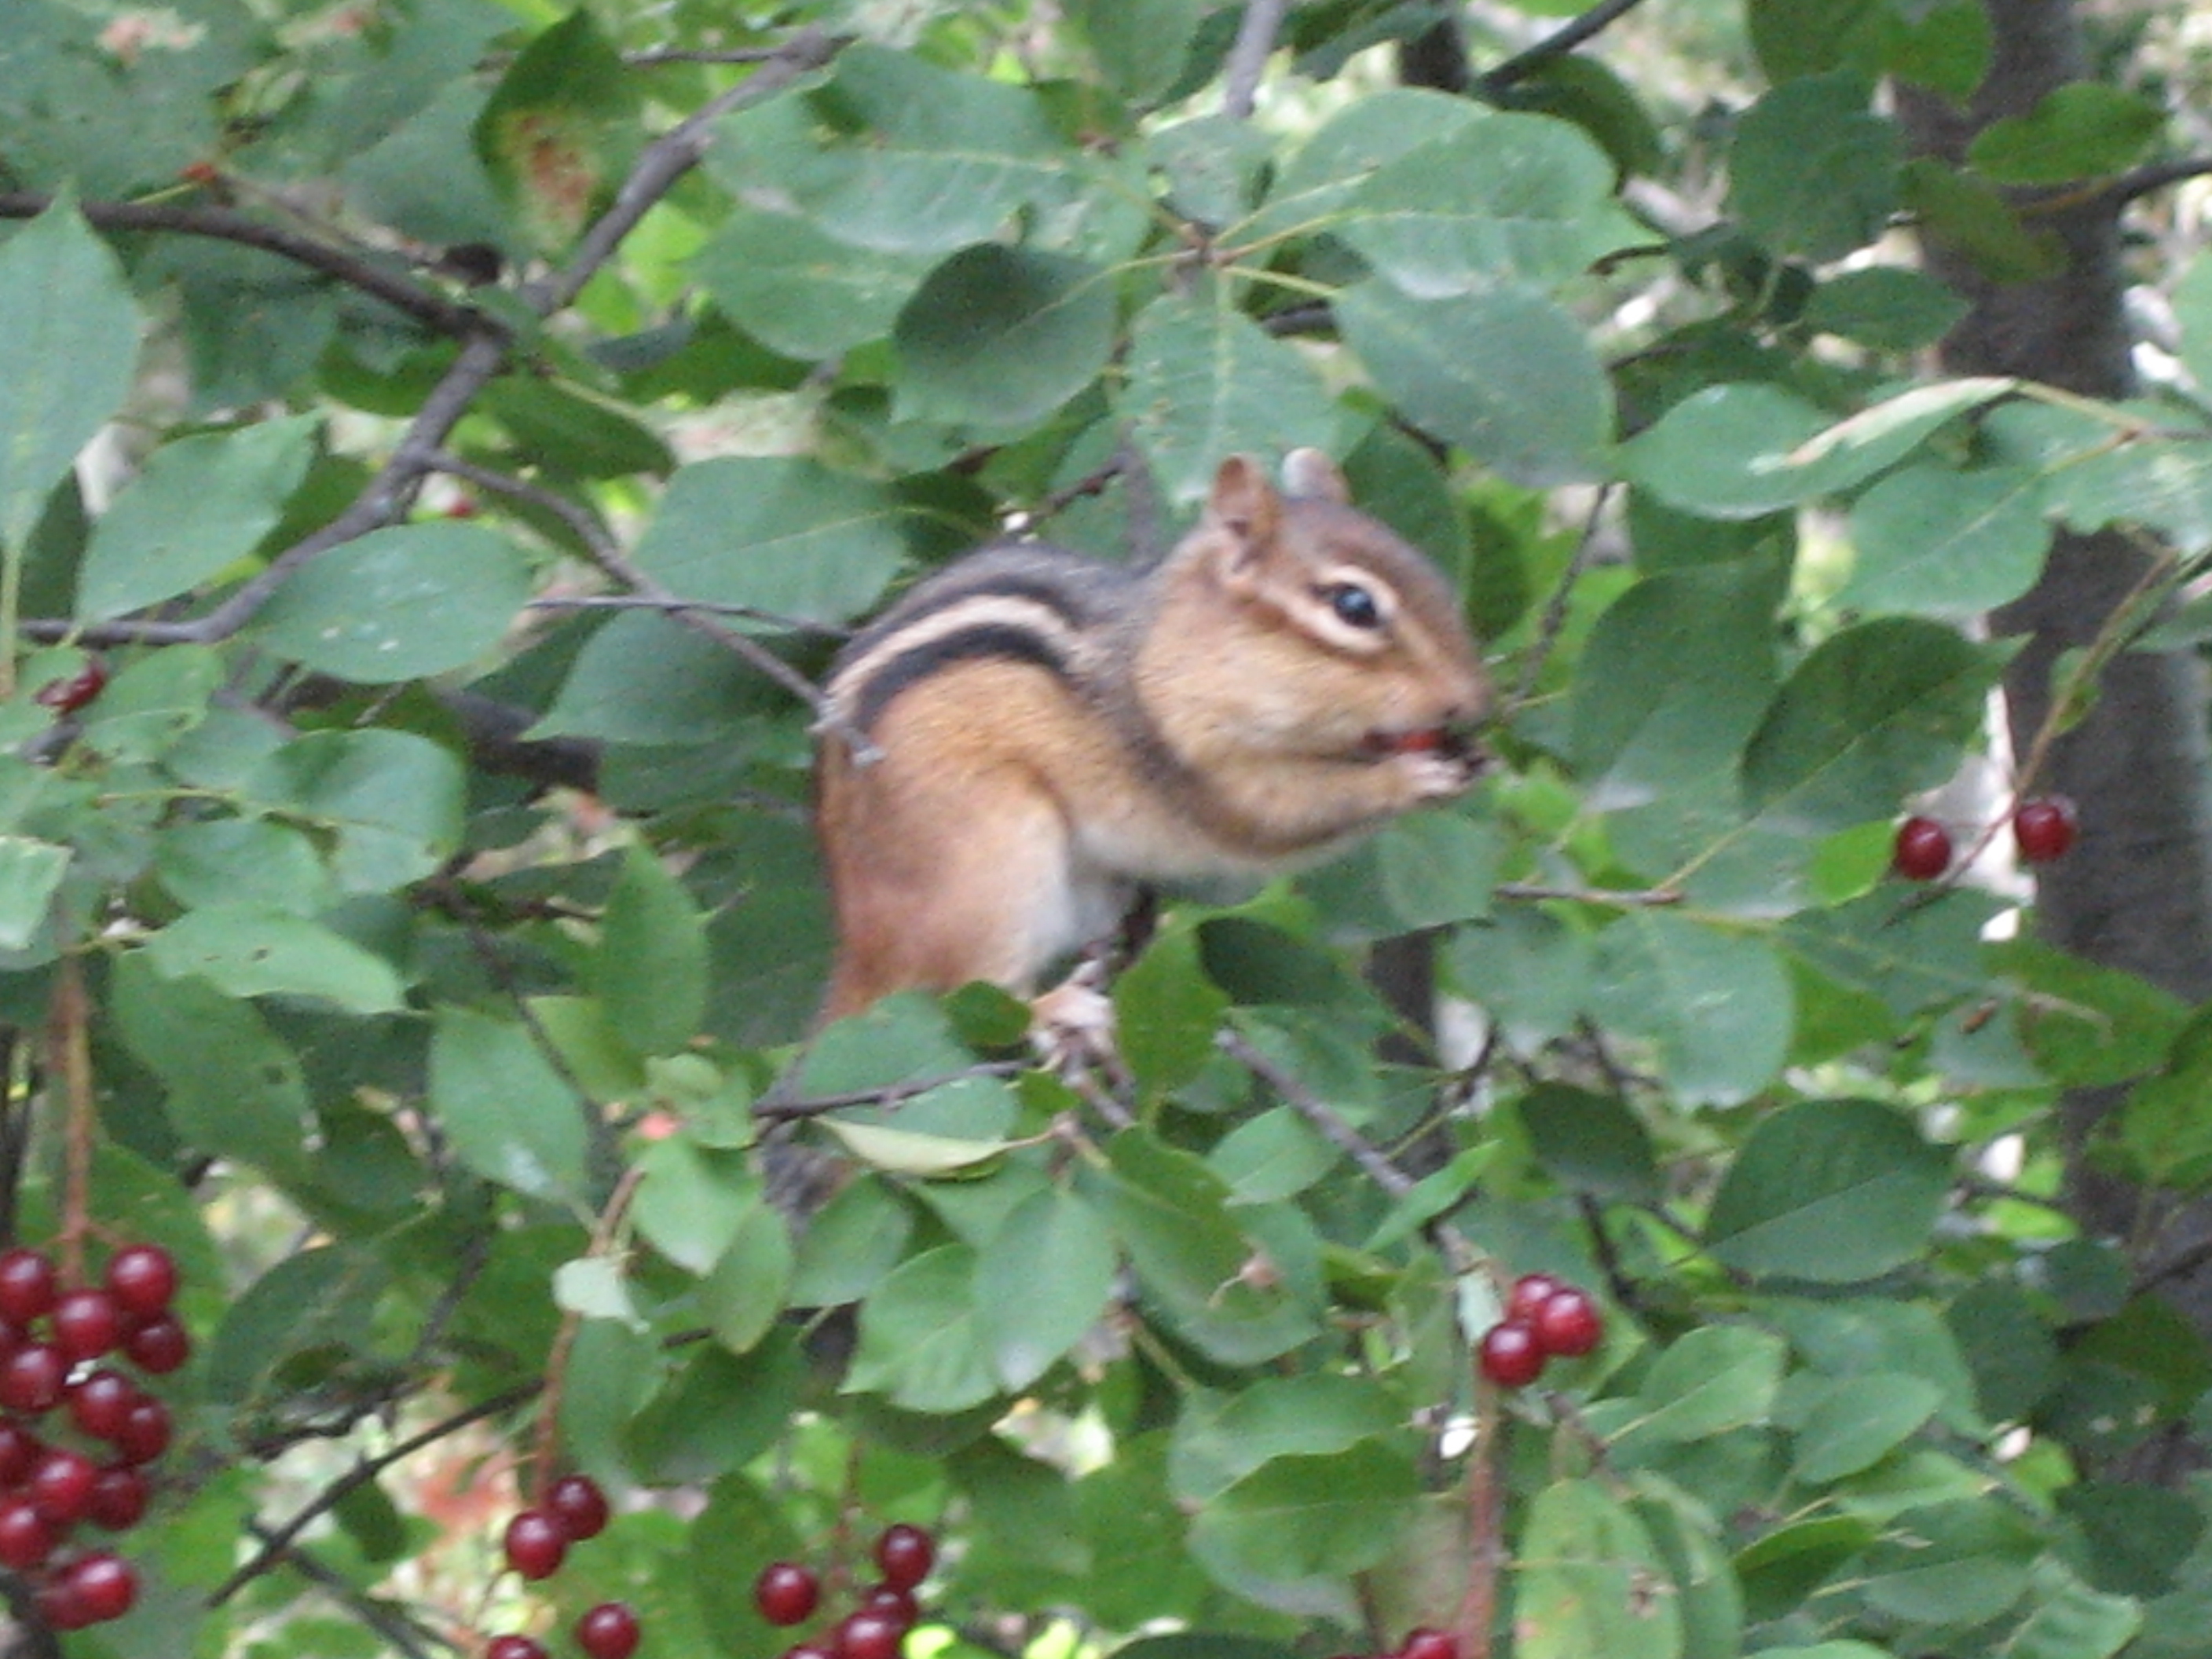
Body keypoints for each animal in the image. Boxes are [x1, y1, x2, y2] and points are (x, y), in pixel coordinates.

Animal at [812, 450, 1490, 1031]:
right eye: (1354, 605)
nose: (1476, 703)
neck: (1166, 654)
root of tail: (862, 944)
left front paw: (1468, 758)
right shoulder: (1189, 758)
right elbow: (1277, 814)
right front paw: (1409, 779)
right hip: (987, 861)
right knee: (965, 991)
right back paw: (1056, 1008)